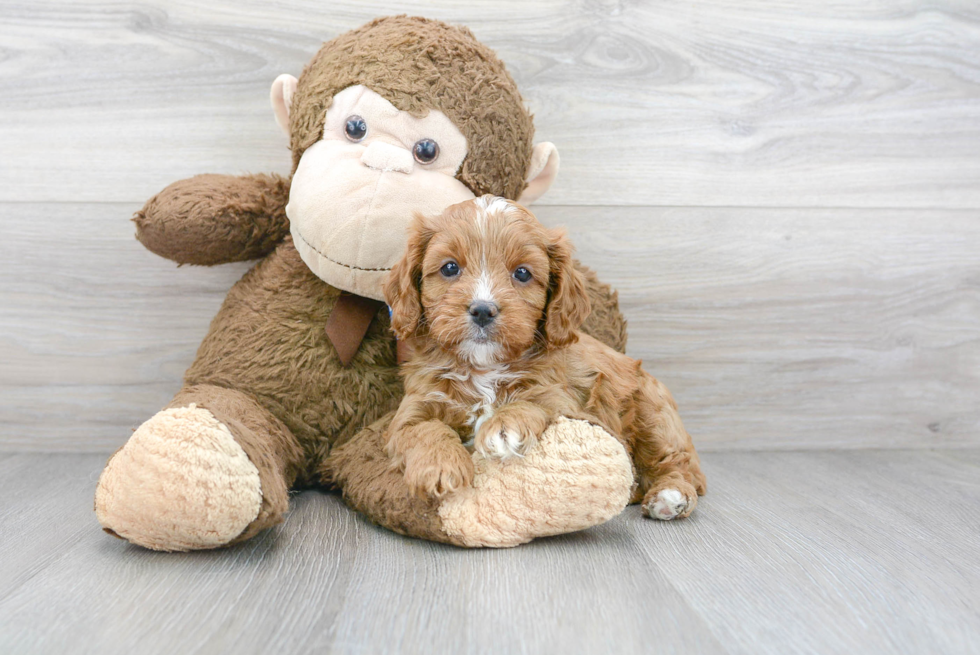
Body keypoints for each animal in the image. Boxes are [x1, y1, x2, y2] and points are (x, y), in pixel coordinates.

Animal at [380, 197, 704, 520]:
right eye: (449, 268)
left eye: (522, 273)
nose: (483, 310)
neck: (483, 368)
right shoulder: (412, 408)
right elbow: (422, 429)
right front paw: (440, 466)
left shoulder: (569, 406)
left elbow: (534, 402)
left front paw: (504, 427)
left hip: (653, 412)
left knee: (677, 463)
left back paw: (671, 495)